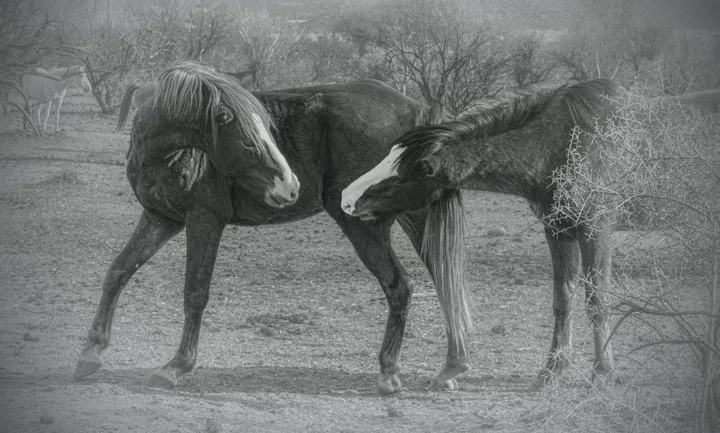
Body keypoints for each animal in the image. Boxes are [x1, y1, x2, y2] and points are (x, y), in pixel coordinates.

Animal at [341, 79, 622, 390]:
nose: (346, 198)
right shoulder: (558, 230)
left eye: (401, 177)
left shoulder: (595, 229)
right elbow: (563, 299)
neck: (561, 144)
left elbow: (598, 301)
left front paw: (602, 372)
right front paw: (552, 371)